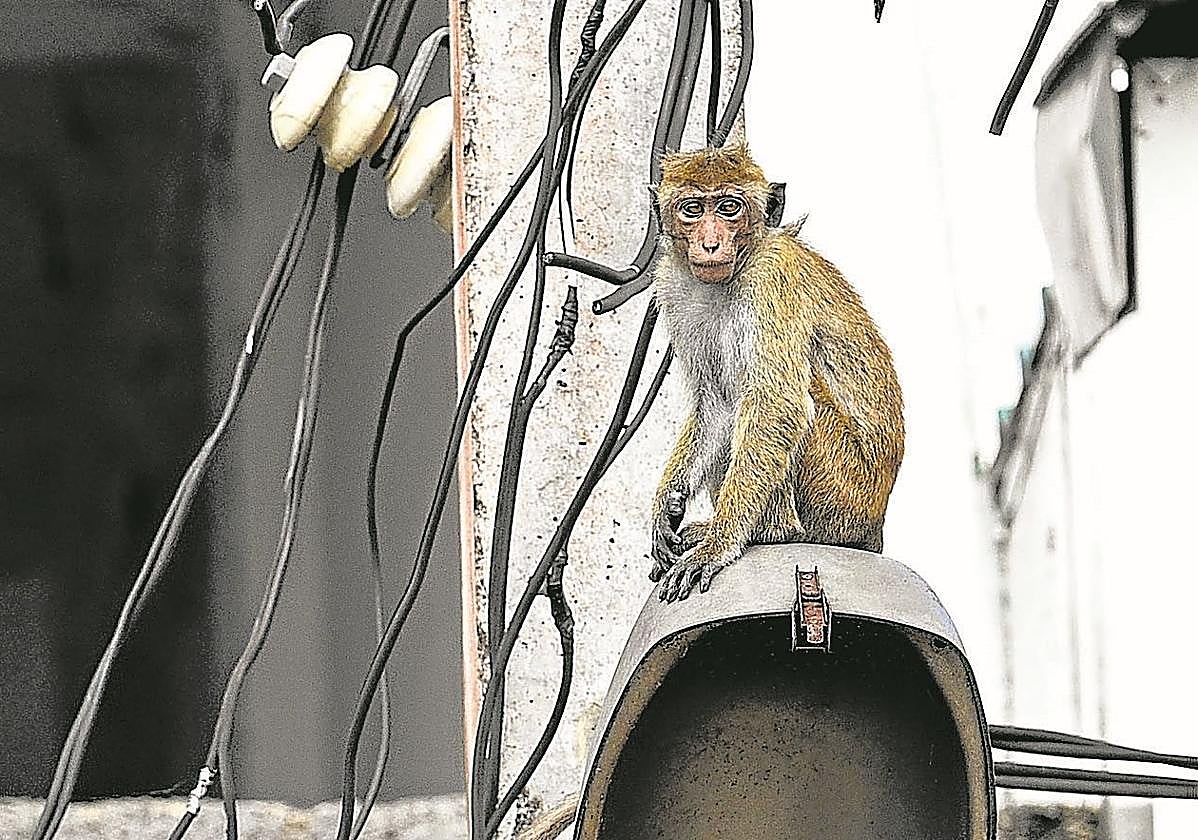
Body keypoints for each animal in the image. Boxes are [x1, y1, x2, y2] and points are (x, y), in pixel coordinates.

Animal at [649, 144, 905, 603]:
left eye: (729, 207)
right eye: (693, 209)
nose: (710, 244)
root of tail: (875, 527)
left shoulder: (773, 279)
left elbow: (777, 405)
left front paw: (719, 542)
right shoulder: (674, 289)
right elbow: (714, 405)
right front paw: (667, 504)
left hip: (841, 492)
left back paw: (774, 531)